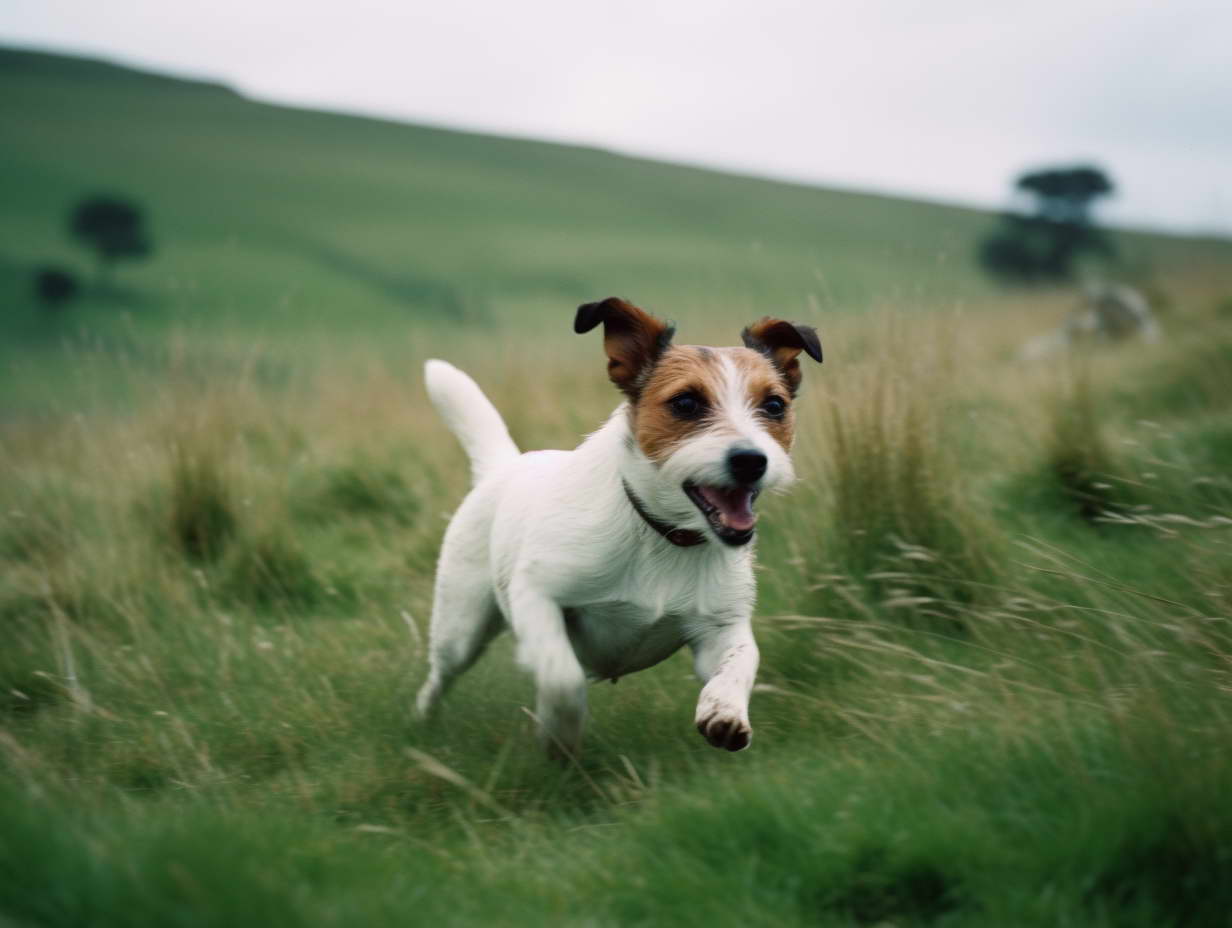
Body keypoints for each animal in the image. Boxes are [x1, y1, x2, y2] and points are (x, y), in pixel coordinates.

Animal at [413, 297, 818, 754]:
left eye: (775, 406)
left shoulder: (720, 625)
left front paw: (725, 711)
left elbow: (740, 661)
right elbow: (562, 676)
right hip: (461, 626)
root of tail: (503, 467)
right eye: (685, 403)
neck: (662, 535)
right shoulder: (536, 594)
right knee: (440, 674)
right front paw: (560, 732)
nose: (751, 461)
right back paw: (423, 720)